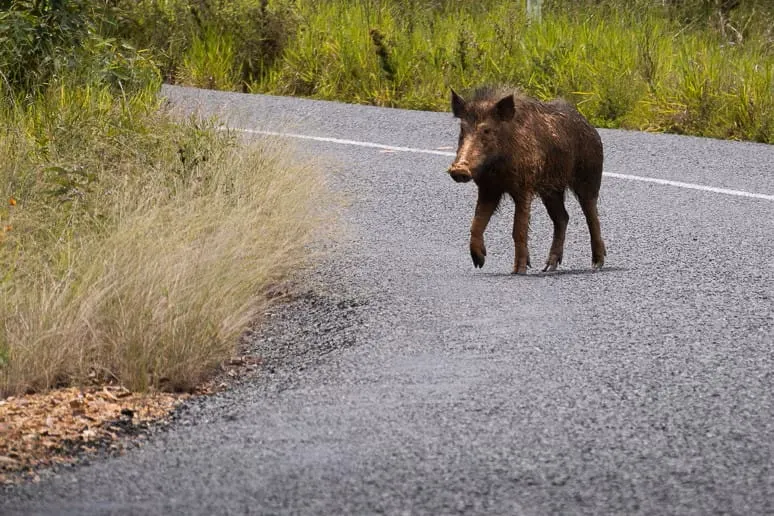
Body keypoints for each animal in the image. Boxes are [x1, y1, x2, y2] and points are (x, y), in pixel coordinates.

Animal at [447, 87, 606, 274]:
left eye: (487, 130)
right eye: (462, 129)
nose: (459, 169)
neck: (498, 165)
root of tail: (591, 127)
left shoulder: (523, 187)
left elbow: (519, 229)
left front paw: (519, 270)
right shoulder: (488, 189)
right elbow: (476, 222)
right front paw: (479, 262)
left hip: (589, 178)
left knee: (592, 216)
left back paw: (597, 264)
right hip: (551, 191)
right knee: (562, 217)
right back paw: (548, 267)